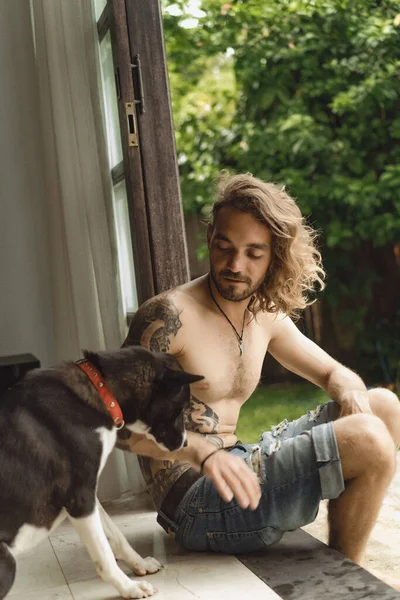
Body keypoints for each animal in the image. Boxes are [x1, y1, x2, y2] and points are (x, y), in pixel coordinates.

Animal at [0, 344, 202, 596]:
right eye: (180, 408)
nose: (185, 444)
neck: (102, 389)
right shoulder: (80, 498)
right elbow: (104, 554)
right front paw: (129, 588)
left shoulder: (89, 494)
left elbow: (115, 535)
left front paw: (140, 565)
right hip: (7, 562)